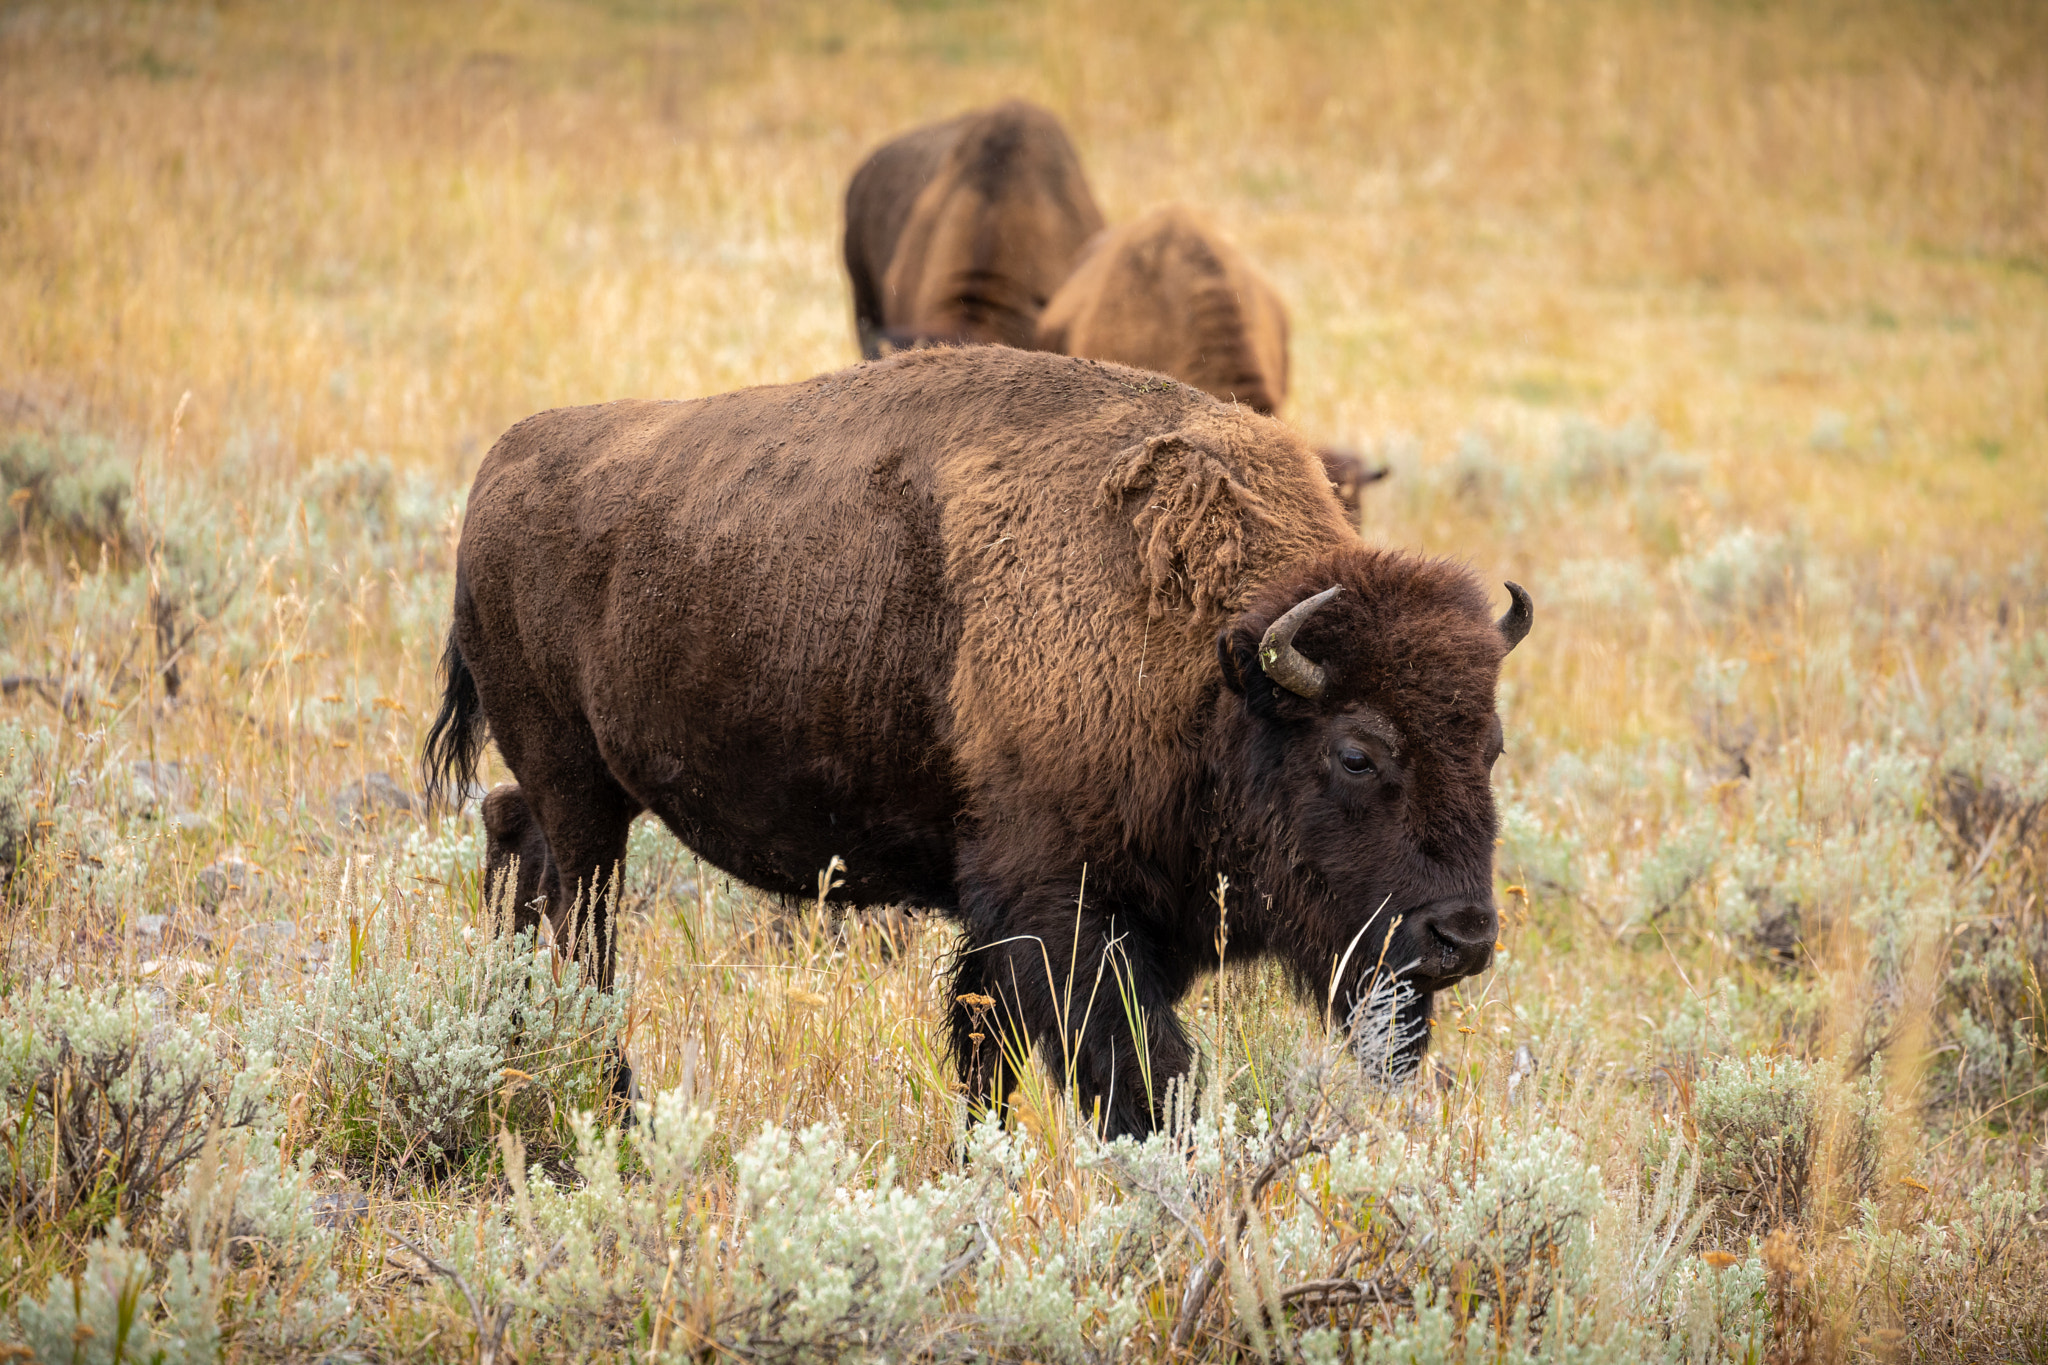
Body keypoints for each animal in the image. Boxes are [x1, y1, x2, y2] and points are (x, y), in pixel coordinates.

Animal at [423, 345, 1530, 1138]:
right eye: (1356, 752)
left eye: (1490, 746)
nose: (1462, 936)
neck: (1209, 666)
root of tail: (498, 469)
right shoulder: (1059, 914)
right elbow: (1141, 1076)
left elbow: (983, 1051)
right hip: (584, 793)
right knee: (584, 931)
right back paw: (616, 1107)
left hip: (574, 788)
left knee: (512, 839)